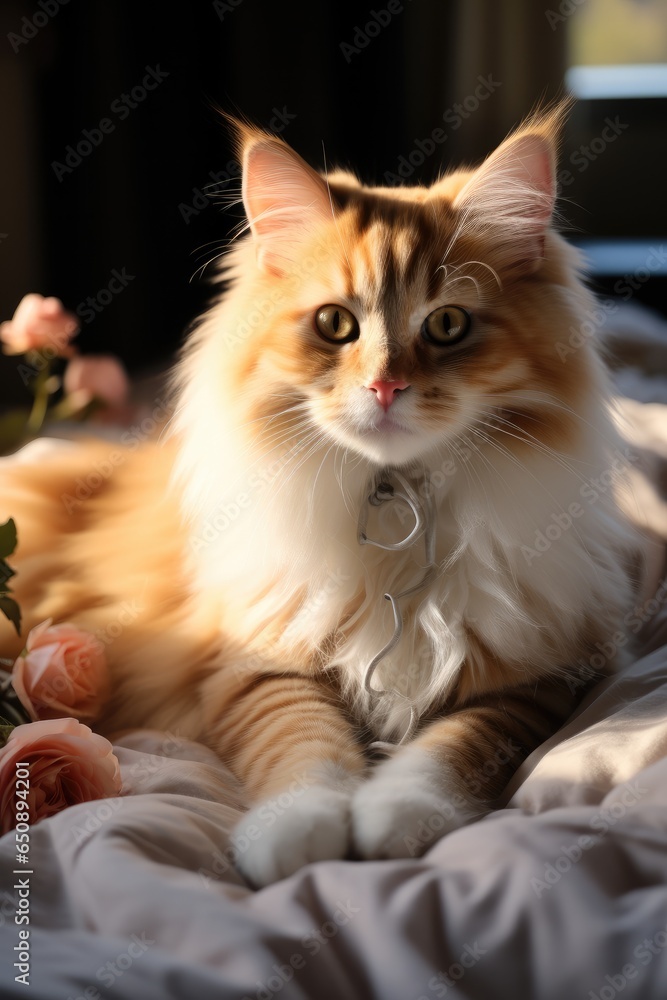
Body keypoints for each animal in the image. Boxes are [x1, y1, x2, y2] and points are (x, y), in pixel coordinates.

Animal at [2, 105, 644, 888]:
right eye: (336, 324)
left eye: (448, 325)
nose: (386, 386)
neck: (394, 501)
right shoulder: (255, 662)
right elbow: (304, 745)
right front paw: (298, 835)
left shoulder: (531, 678)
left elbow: (448, 750)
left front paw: (396, 820)